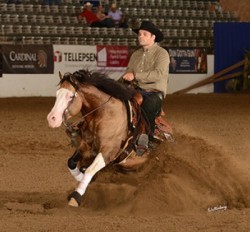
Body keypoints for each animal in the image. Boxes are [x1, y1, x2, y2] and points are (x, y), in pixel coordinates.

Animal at [47, 70, 172, 208]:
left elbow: (90, 170)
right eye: (57, 94)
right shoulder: (86, 145)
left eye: (70, 97)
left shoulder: (108, 151)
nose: (51, 119)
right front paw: (80, 176)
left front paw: (76, 196)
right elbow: (71, 162)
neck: (104, 114)